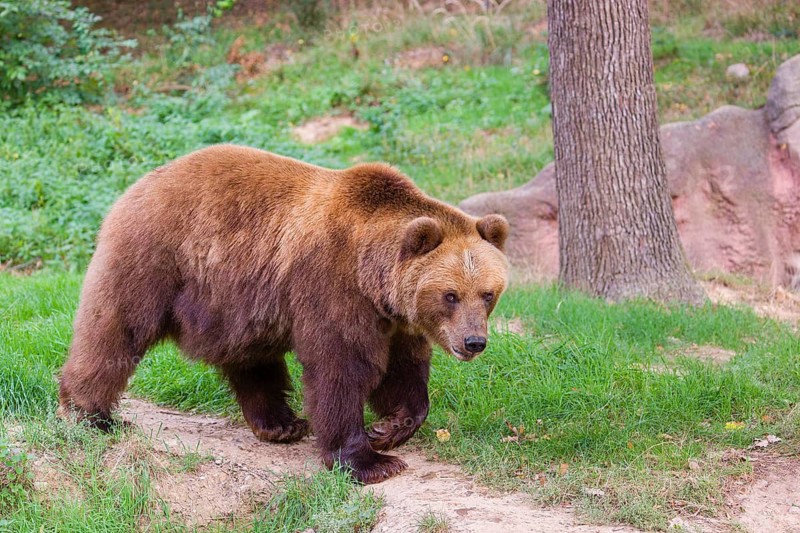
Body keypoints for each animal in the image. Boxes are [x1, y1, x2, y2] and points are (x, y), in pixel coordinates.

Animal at [59, 144, 510, 484]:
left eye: (487, 293)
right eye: (451, 295)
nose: (474, 341)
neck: (372, 275)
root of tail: (136, 185)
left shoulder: (395, 319)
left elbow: (405, 371)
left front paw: (389, 429)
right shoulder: (333, 285)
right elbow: (340, 367)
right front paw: (368, 461)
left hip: (237, 298)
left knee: (250, 356)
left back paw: (280, 423)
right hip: (156, 257)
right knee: (117, 327)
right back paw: (91, 414)